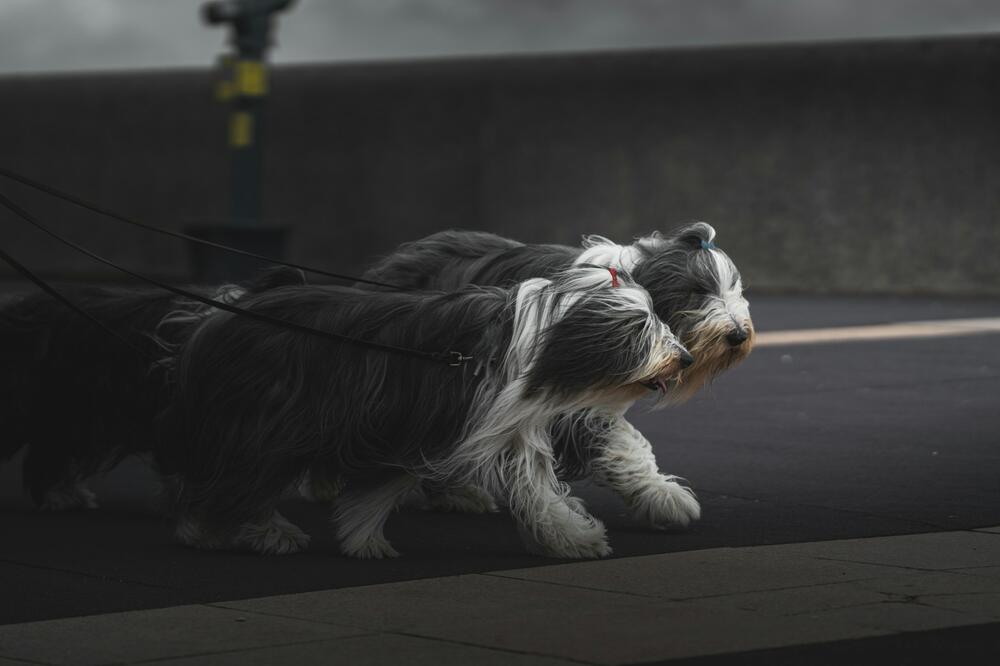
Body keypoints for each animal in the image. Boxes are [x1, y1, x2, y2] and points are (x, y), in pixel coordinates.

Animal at [158, 264, 696, 556]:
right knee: (239, 474)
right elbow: (382, 487)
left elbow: (535, 490)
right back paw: (236, 529)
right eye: (642, 327)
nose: (685, 358)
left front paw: (569, 538)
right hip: (266, 419)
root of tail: (228, 309)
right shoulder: (426, 421)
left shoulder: (492, 429)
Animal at [364, 220, 752, 528]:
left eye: (736, 289)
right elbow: (620, 441)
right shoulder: (570, 392)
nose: (738, 335)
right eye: (697, 290)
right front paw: (664, 495)